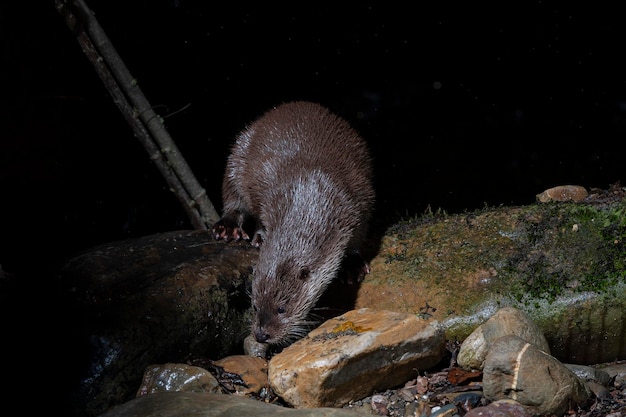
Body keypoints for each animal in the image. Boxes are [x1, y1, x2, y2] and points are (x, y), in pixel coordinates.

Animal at [212, 101, 372, 344]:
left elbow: (358, 239)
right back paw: (228, 228)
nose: (261, 335)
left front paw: (352, 267)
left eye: (282, 308)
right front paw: (260, 236)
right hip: (239, 151)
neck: (308, 191)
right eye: (255, 306)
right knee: (233, 196)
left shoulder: (359, 201)